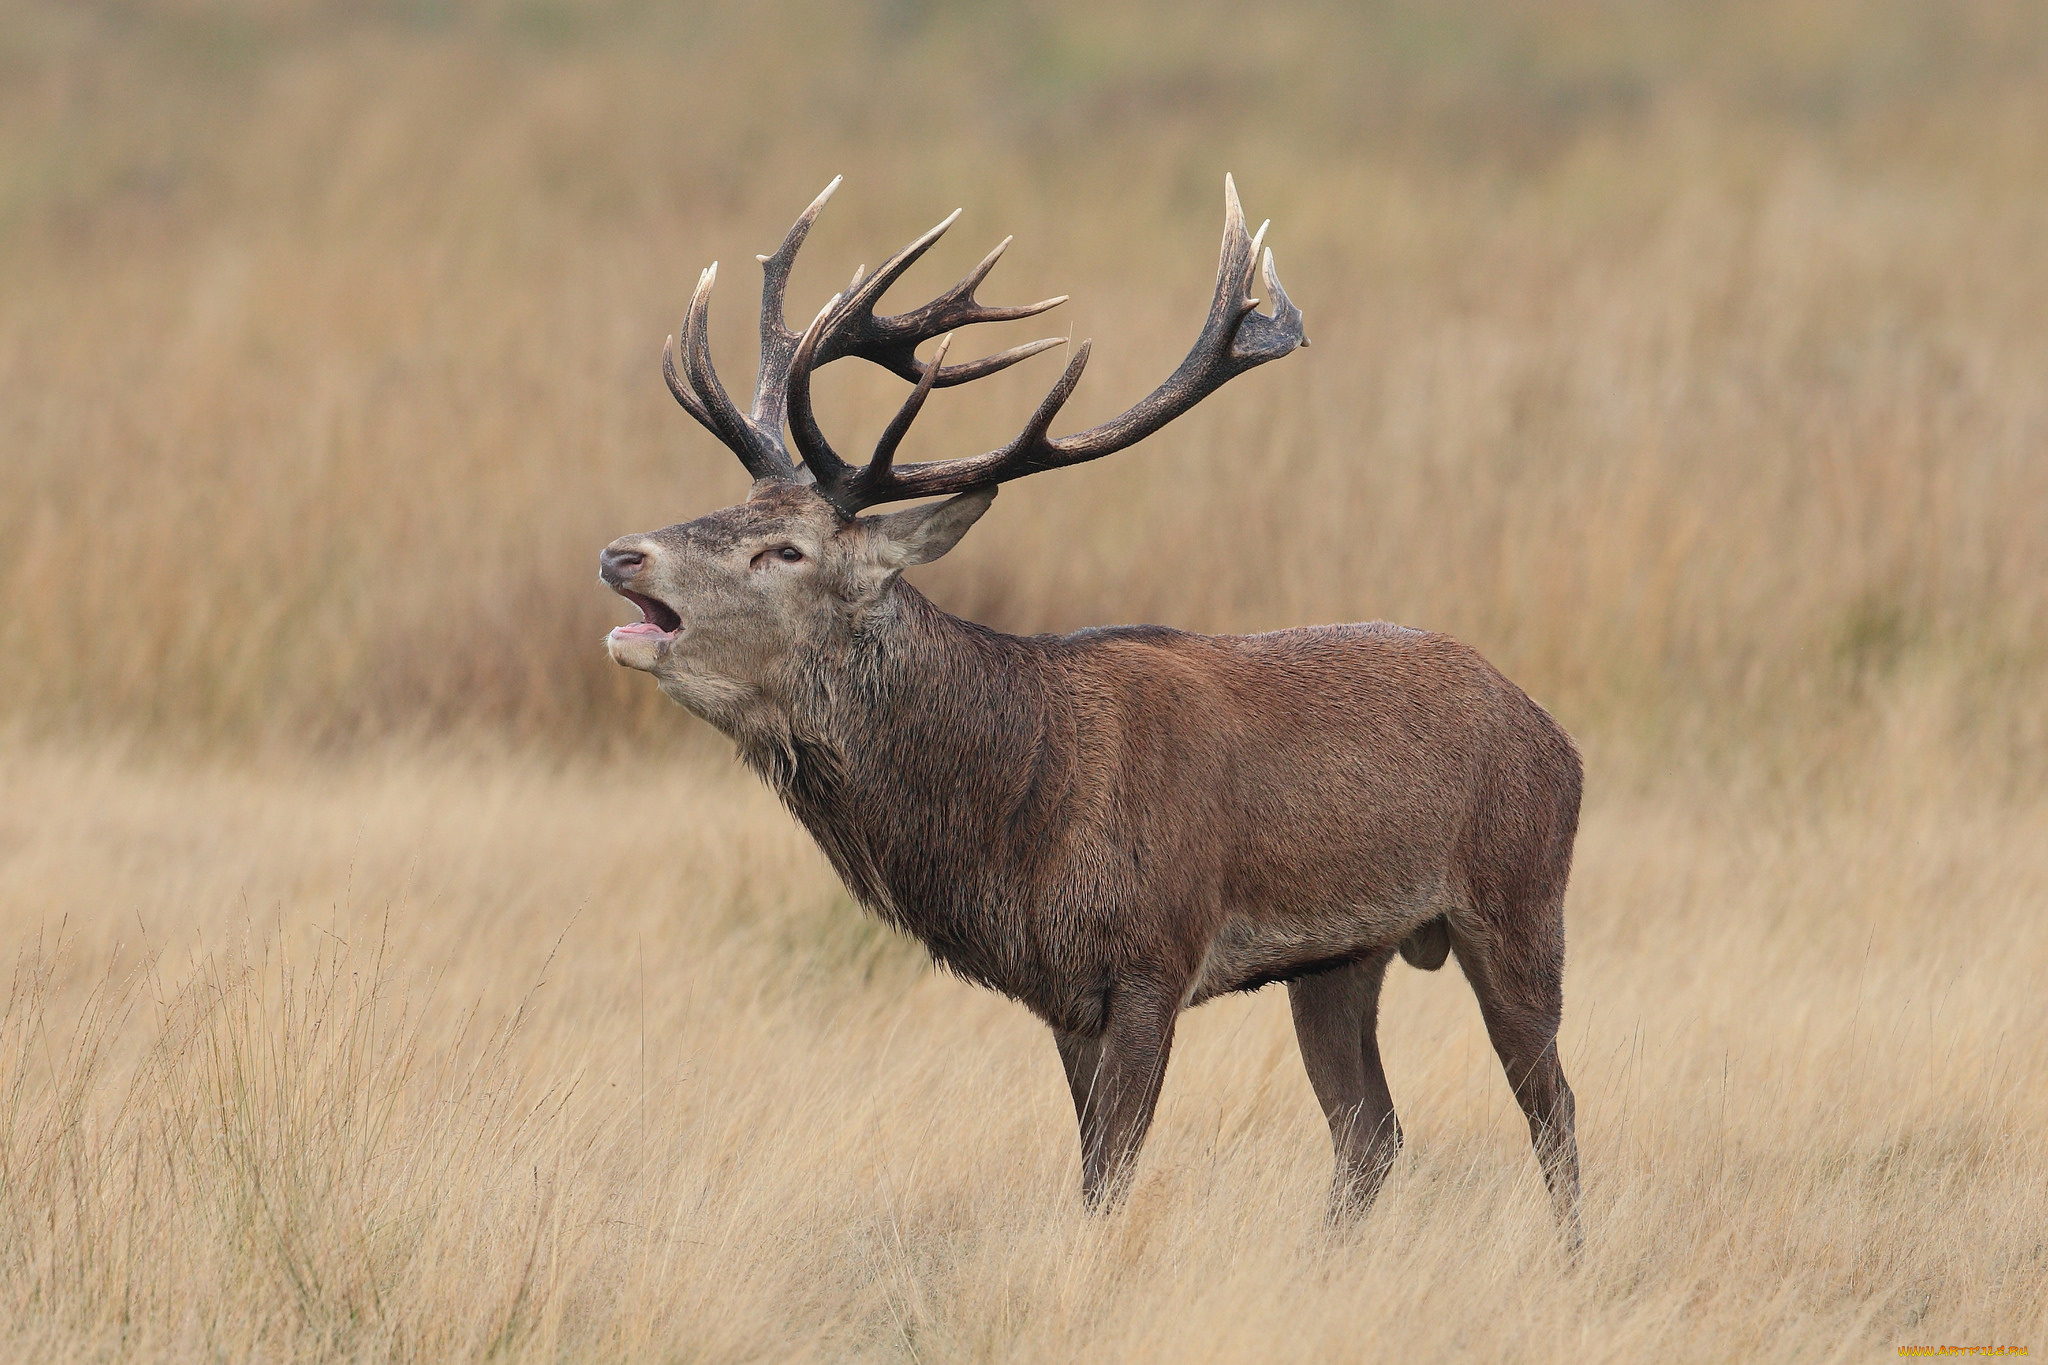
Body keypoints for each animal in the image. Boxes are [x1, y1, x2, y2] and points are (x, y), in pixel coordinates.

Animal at [593, 173, 1581, 1236]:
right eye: (732, 508)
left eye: (785, 549)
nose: (622, 553)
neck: (1020, 813)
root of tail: (1555, 735)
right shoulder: (1063, 995)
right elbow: (1091, 1174)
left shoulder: (1154, 953)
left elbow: (1113, 1173)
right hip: (1342, 958)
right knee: (1371, 1132)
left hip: (1519, 896)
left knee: (1552, 1110)